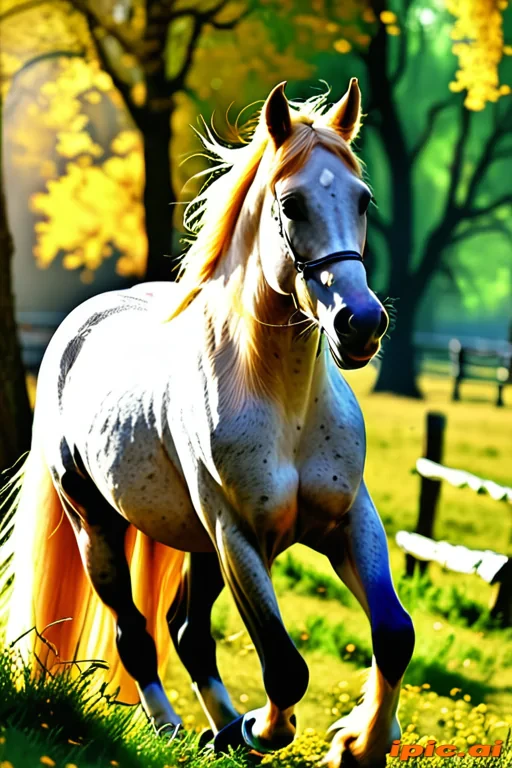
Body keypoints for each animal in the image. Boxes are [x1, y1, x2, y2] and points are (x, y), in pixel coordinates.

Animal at [1, 78, 414, 768]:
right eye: (291, 204)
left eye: (362, 199)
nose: (360, 324)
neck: (283, 406)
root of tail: (77, 326)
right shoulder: (239, 537)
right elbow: (286, 669)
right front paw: (263, 729)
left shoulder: (349, 520)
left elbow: (393, 634)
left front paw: (358, 743)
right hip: (98, 527)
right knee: (138, 635)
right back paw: (179, 726)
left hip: (194, 545)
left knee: (187, 632)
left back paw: (219, 731)